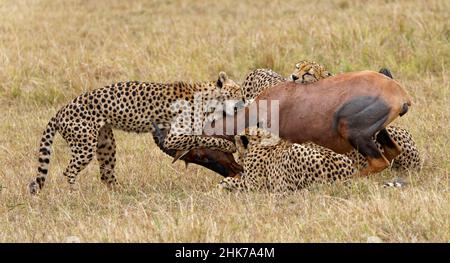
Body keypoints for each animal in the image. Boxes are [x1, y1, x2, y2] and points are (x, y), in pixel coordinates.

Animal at [29, 71, 244, 194]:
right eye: (238, 91)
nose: (244, 100)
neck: (209, 97)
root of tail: (60, 110)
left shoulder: (166, 133)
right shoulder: (174, 137)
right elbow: (203, 139)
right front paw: (228, 145)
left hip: (106, 144)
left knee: (106, 174)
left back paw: (121, 193)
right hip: (85, 146)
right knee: (69, 170)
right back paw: (75, 194)